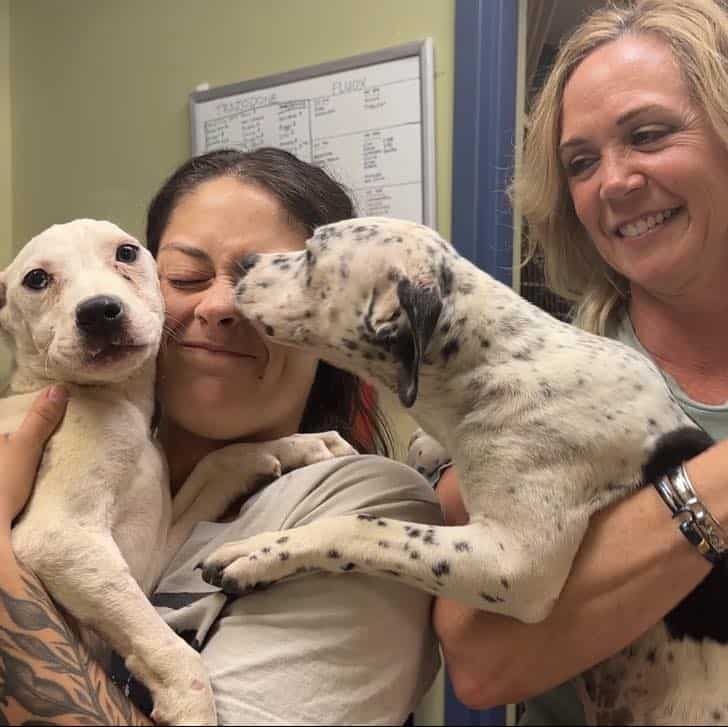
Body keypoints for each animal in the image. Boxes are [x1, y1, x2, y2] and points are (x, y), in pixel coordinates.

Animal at [202, 215, 724, 724]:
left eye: (311, 254)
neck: (495, 365)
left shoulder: (514, 564)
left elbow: (359, 526)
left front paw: (258, 552)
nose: (244, 261)